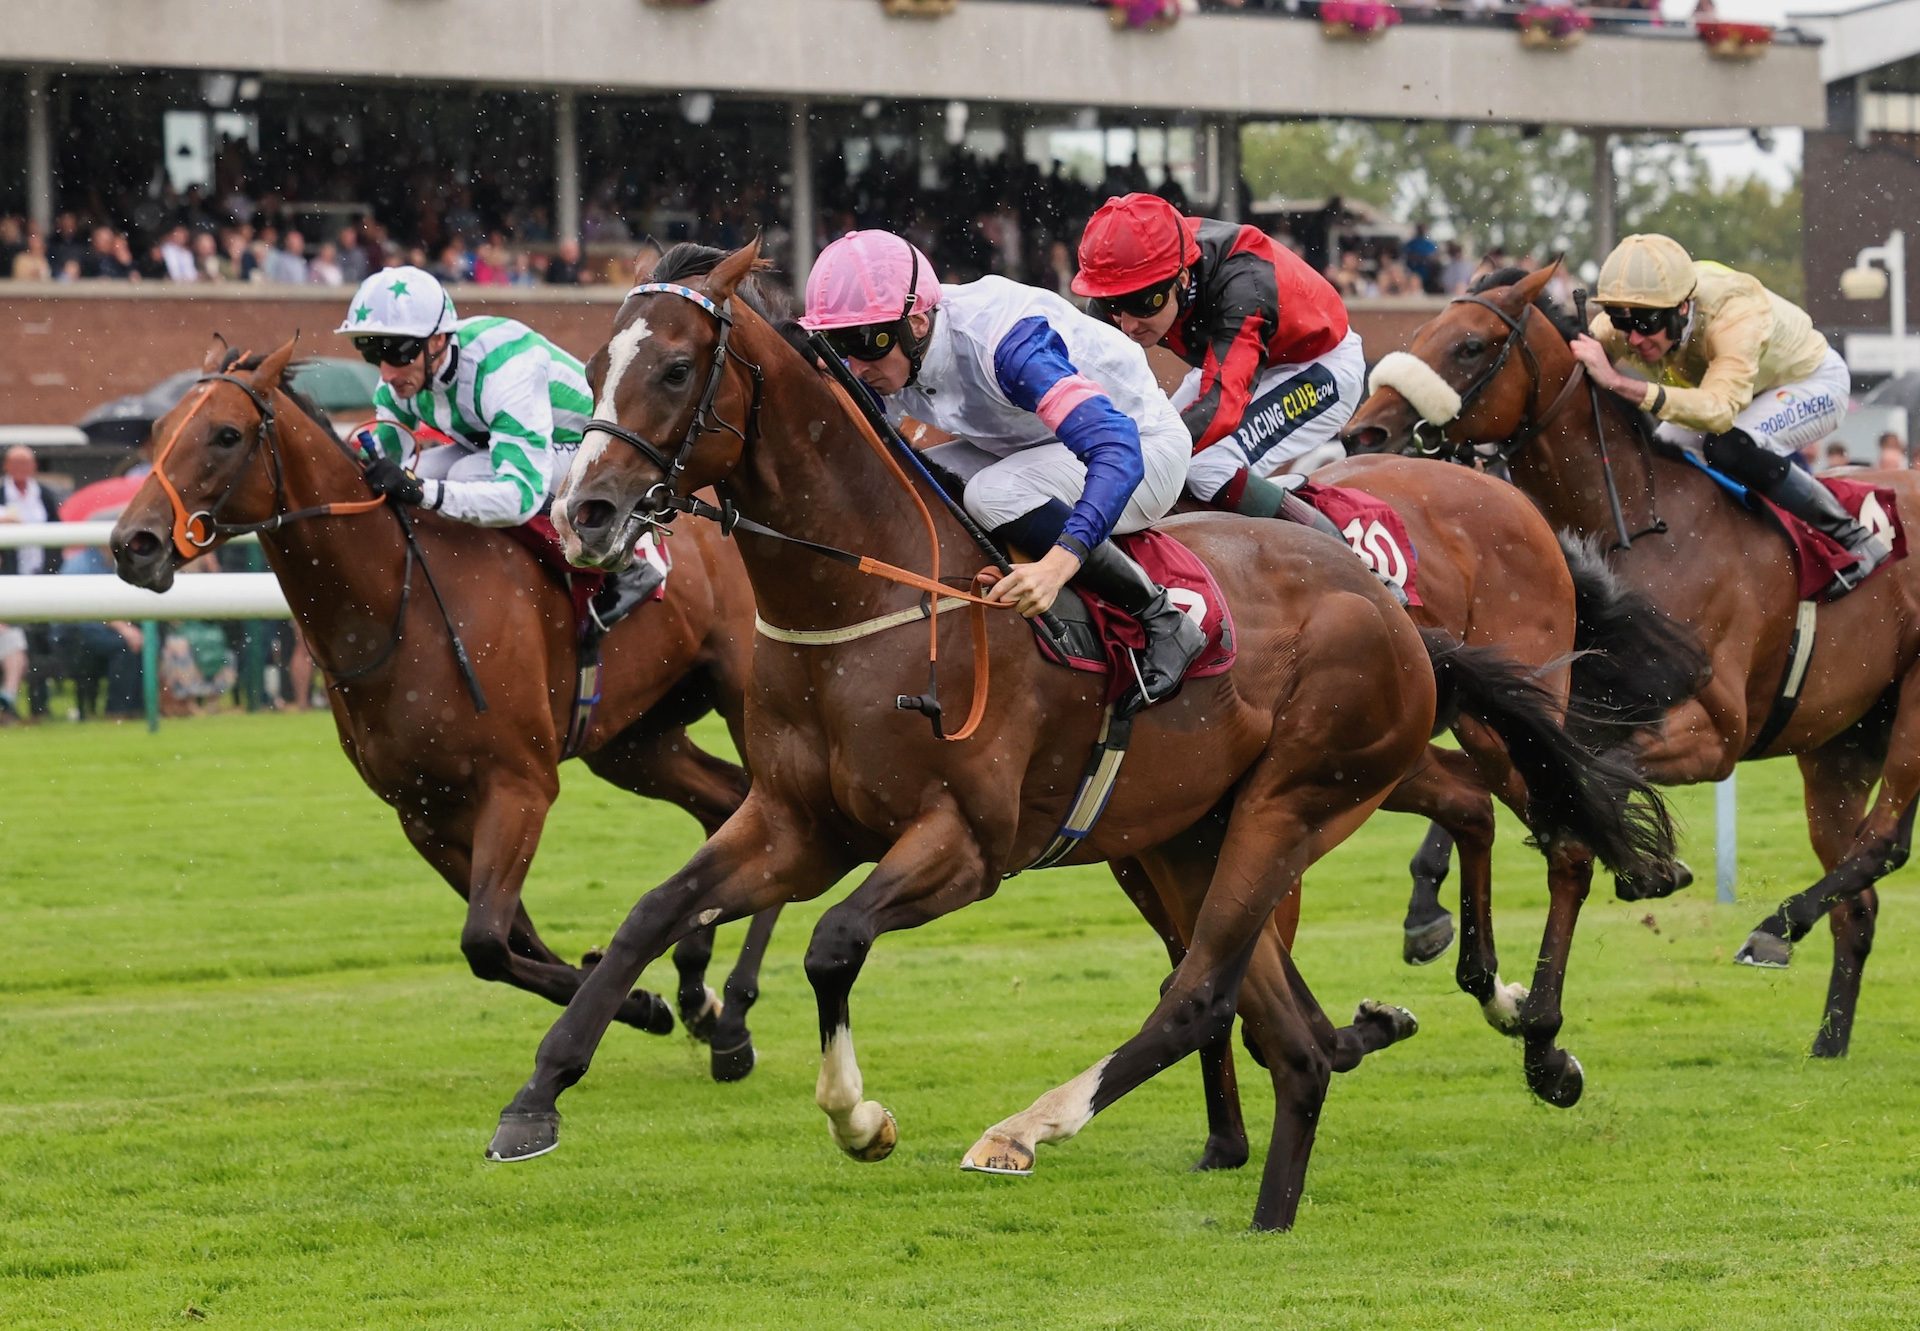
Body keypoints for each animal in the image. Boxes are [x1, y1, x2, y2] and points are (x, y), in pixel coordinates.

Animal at [105, 338, 775, 1075]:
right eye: (158, 431)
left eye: (226, 434)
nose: (133, 544)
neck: (398, 608)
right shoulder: (423, 812)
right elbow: (510, 942)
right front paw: (638, 998)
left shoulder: (520, 786)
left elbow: (485, 940)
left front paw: (637, 1000)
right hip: (633, 742)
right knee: (724, 802)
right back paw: (695, 990)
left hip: (746, 697)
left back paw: (733, 1019)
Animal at [476, 239, 1666, 1221]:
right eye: (595, 368)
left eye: (678, 370)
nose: (585, 513)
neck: (869, 597)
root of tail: (1397, 618)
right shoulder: (796, 822)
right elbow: (650, 912)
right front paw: (535, 1096)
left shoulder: (967, 843)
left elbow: (834, 941)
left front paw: (860, 1116)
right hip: (1194, 831)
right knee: (1272, 1018)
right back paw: (1280, 1189)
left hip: (1296, 798)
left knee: (1213, 985)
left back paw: (1028, 1128)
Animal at [1344, 265, 1920, 1060]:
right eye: (1424, 328)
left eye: (1470, 344)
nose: (1363, 432)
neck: (1639, 531)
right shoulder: (1548, 702)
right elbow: (1528, 779)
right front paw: (1428, 913)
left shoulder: (1713, 732)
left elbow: (1601, 778)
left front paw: (1644, 866)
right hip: (1839, 745)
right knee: (1858, 899)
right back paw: (1827, 1041)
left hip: (1911, 712)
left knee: (1886, 841)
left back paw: (1774, 928)